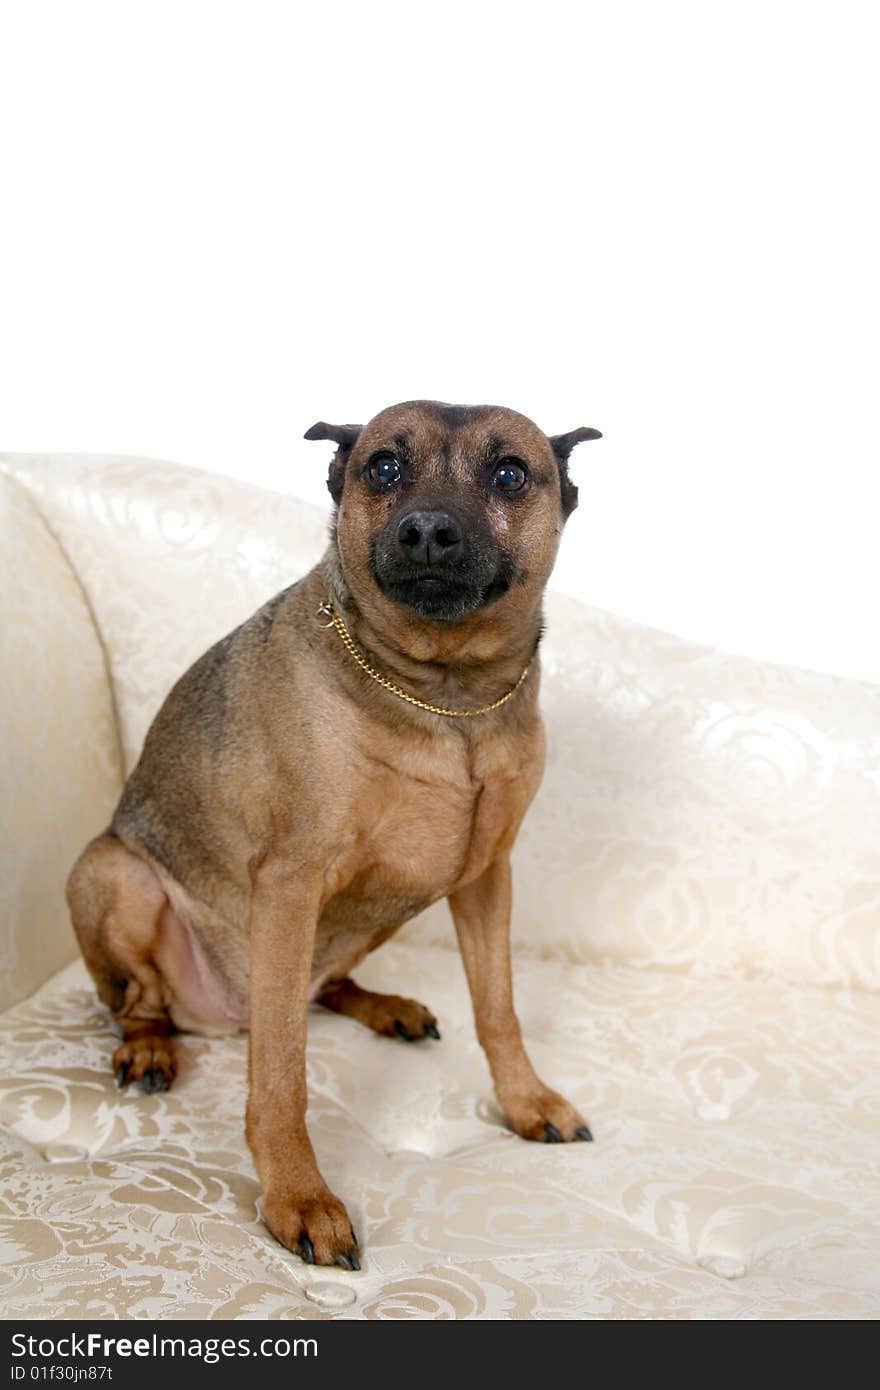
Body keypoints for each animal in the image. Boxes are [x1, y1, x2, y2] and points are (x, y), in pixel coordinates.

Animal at [68, 397, 600, 1267]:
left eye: (510, 474)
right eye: (382, 466)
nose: (428, 531)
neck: (444, 694)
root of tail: (218, 1017)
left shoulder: (487, 875)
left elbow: (500, 1010)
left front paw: (526, 1101)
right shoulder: (290, 884)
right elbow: (282, 1070)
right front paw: (299, 1197)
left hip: (387, 908)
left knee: (327, 986)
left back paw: (385, 1006)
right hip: (111, 873)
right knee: (143, 1001)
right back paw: (148, 1046)